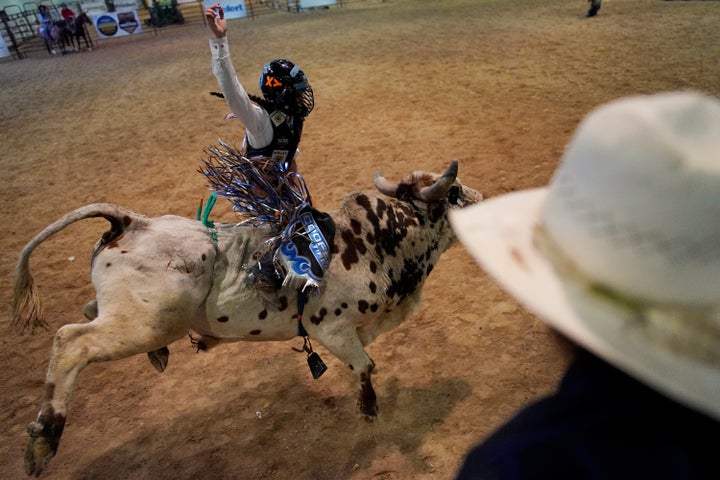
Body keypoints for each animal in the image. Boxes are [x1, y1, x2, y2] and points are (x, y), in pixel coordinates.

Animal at [11, 159, 480, 474]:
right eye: (455, 194)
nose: (482, 198)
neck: (374, 242)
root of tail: (132, 222)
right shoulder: (332, 328)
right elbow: (364, 365)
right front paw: (368, 410)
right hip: (145, 324)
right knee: (72, 340)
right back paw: (44, 438)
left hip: (134, 316)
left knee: (89, 312)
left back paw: (159, 356)